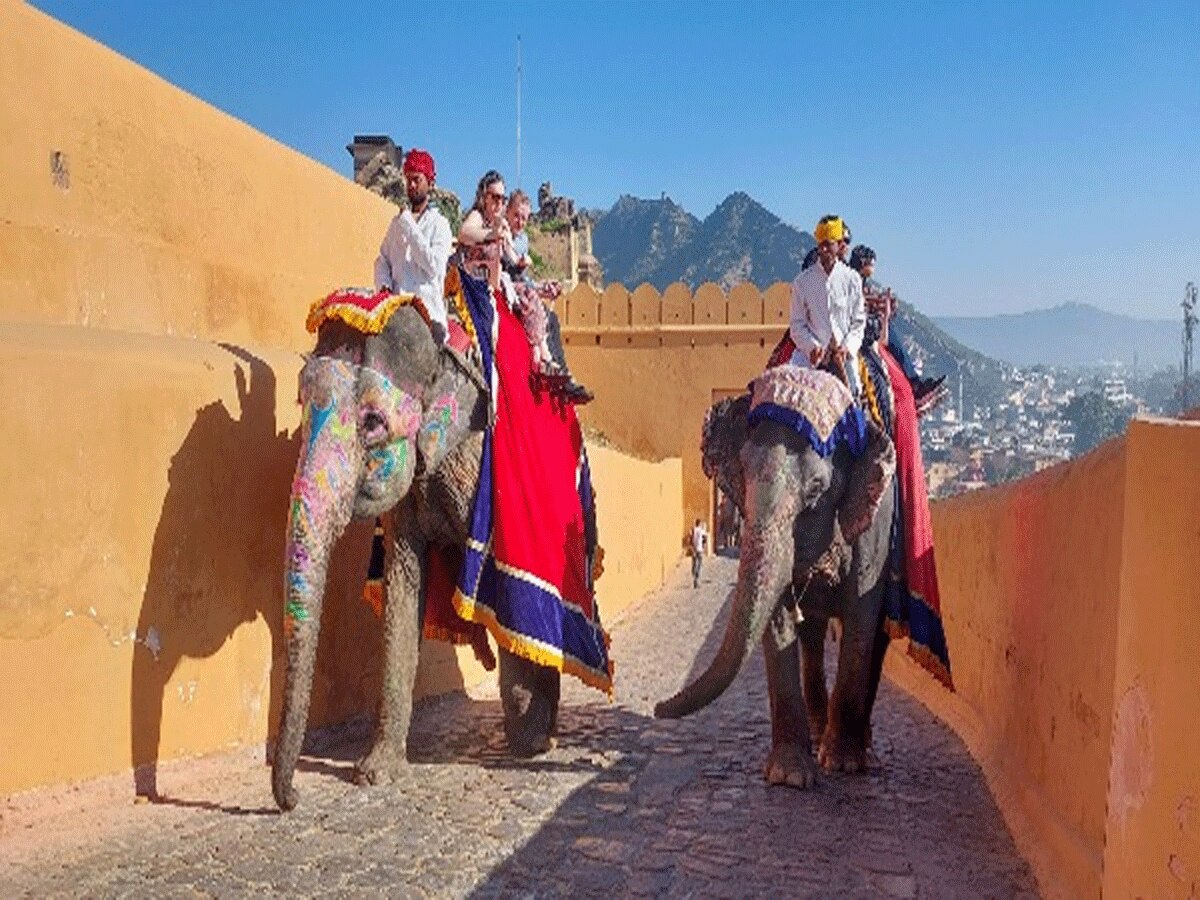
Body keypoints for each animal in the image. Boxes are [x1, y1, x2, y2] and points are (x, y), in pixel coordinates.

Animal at [272, 303, 563, 811]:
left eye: (372, 422)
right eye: (300, 404)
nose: (291, 800)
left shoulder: (479, 459)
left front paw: (526, 739)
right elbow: (403, 587)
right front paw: (374, 773)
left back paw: (542, 731)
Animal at [655, 388, 895, 789]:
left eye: (817, 487)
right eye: (742, 473)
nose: (657, 707)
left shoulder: (875, 525)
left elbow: (862, 614)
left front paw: (843, 764)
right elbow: (778, 613)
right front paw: (790, 775)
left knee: (876, 635)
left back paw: (855, 744)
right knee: (812, 636)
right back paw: (817, 732)